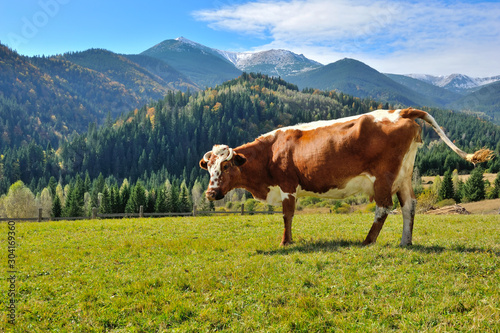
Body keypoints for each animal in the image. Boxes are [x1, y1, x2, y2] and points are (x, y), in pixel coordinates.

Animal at [198, 107, 492, 245]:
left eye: (226, 166)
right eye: (208, 168)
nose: (211, 193)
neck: (271, 151)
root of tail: (398, 111)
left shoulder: (288, 185)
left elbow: (287, 215)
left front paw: (286, 241)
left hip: (383, 177)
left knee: (384, 208)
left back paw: (368, 241)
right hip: (404, 176)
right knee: (409, 206)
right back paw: (405, 242)